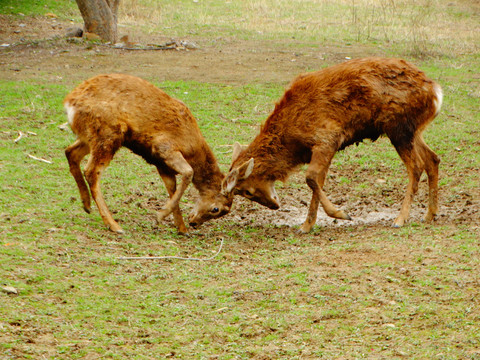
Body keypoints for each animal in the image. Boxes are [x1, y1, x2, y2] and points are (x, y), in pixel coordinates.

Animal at [64, 74, 233, 235]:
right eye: (216, 209)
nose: (194, 223)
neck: (193, 148)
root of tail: (69, 104)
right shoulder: (164, 147)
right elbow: (188, 172)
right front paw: (160, 216)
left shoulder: (162, 165)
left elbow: (172, 188)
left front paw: (181, 228)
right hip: (107, 134)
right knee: (91, 171)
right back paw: (114, 225)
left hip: (90, 136)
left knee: (70, 152)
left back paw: (86, 205)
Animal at [224, 57, 442, 233]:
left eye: (247, 191)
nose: (274, 206)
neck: (293, 141)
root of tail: (436, 93)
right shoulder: (324, 148)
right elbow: (318, 181)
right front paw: (307, 225)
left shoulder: (328, 137)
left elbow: (311, 178)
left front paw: (341, 214)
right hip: (413, 130)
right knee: (433, 158)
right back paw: (429, 214)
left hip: (399, 127)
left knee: (416, 166)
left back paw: (400, 218)